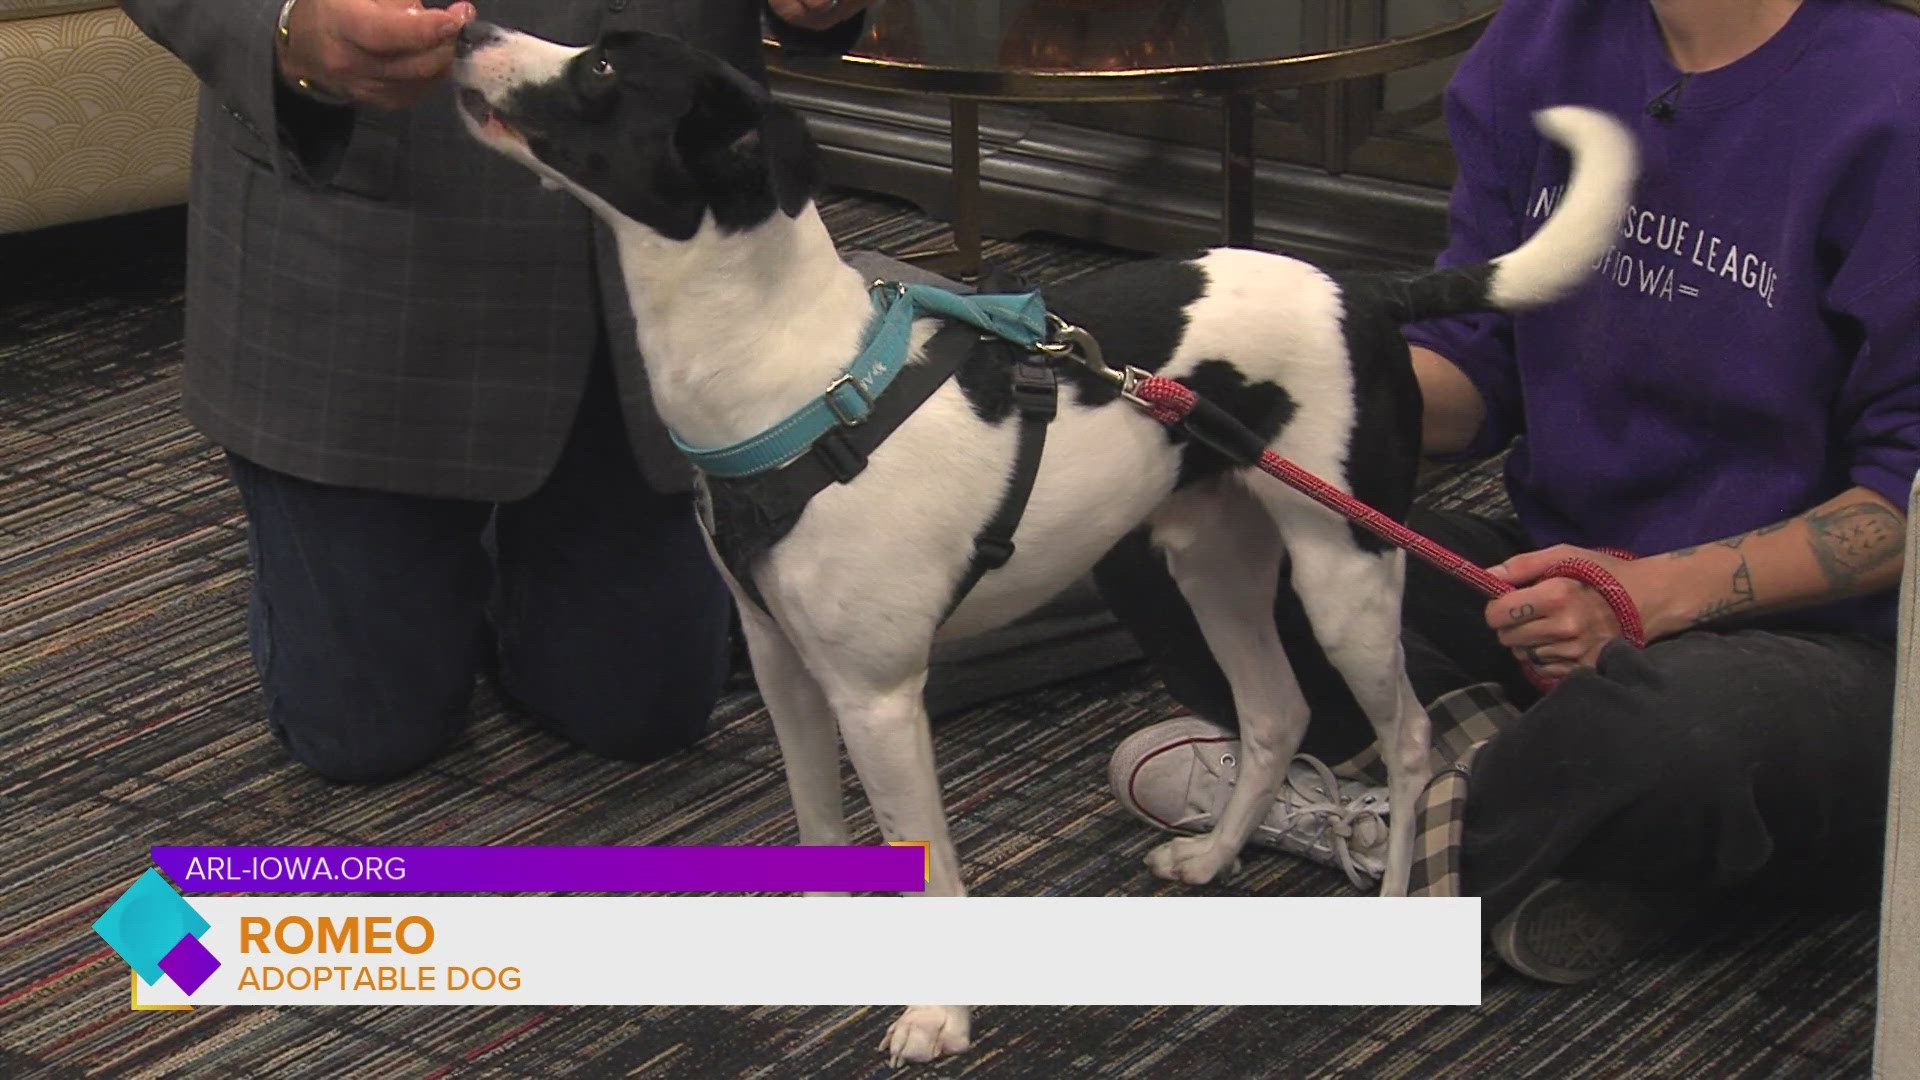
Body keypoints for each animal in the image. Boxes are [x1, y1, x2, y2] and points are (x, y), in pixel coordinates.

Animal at [453, 23, 1635, 1060]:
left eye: (602, 69)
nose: (464, 33)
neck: (800, 378)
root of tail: (1367, 287)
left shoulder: (880, 700)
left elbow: (927, 866)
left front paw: (938, 1017)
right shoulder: (785, 664)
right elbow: (817, 824)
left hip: (1345, 569)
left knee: (1411, 741)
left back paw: (1390, 914)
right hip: (1213, 559)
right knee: (1273, 712)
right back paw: (1217, 852)